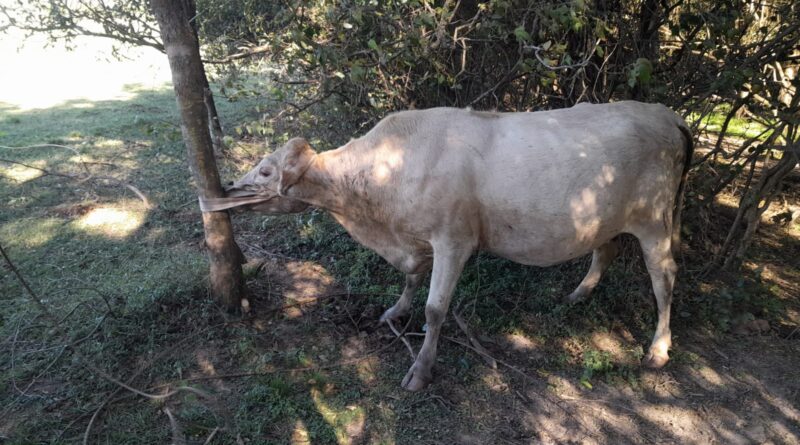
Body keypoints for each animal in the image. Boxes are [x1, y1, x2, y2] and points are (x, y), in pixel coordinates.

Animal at [205, 101, 694, 391]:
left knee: (665, 276)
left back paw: (658, 349)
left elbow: (435, 309)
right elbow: (410, 278)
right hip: (608, 218)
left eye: (266, 171)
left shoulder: (454, 239)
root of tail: (666, 114)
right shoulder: (414, 237)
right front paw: (394, 312)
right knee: (604, 251)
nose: (226, 190)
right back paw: (579, 293)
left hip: (653, 218)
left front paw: (421, 370)